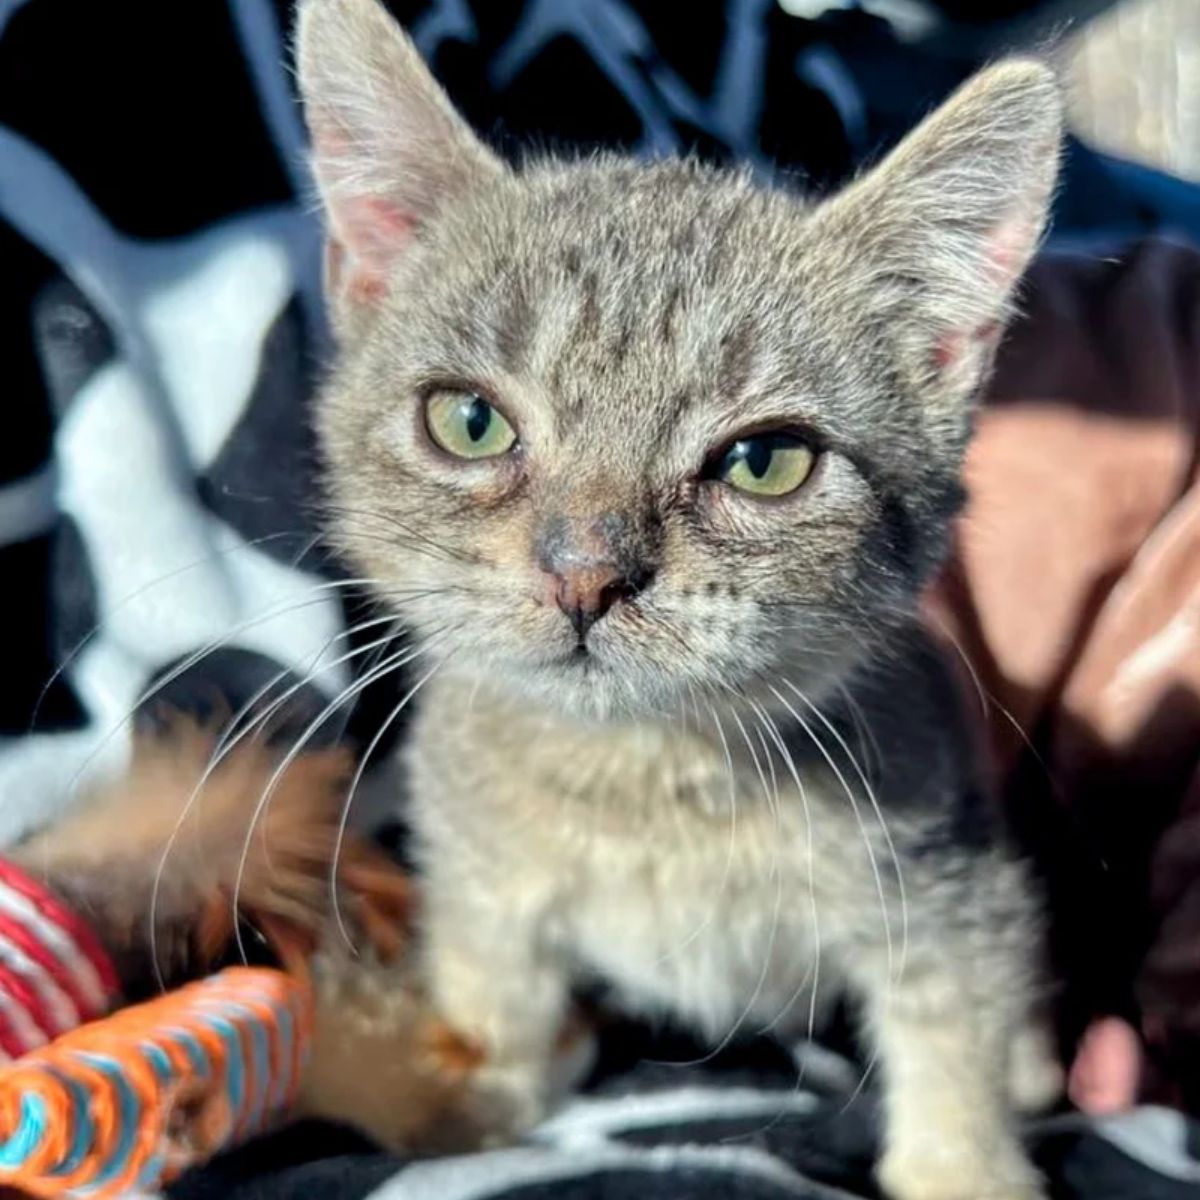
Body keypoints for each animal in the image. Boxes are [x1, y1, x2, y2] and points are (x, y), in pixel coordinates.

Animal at [295, 4, 1065, 1195]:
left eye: (765, 461)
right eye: (469, 422)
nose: (585, 571)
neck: (647, 782)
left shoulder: (946, 878)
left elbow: (954, 1027)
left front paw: (967, 1163)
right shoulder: (480, 870)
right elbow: (495, 988)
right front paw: (471, 1097)